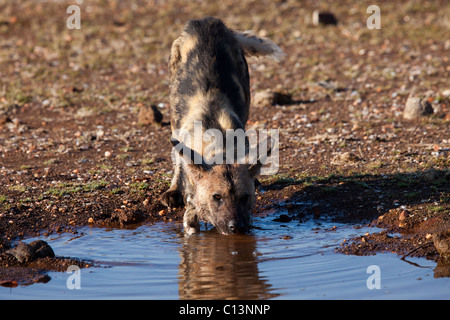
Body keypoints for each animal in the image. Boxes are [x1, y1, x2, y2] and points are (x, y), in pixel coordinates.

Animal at [161, 16, 282, 234]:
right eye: (217, 197)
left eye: (244, 198)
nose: (236, 227)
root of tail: (208, 21)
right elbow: (191, 210)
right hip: (175, 120)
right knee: (177, 161)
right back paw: (173, 191)